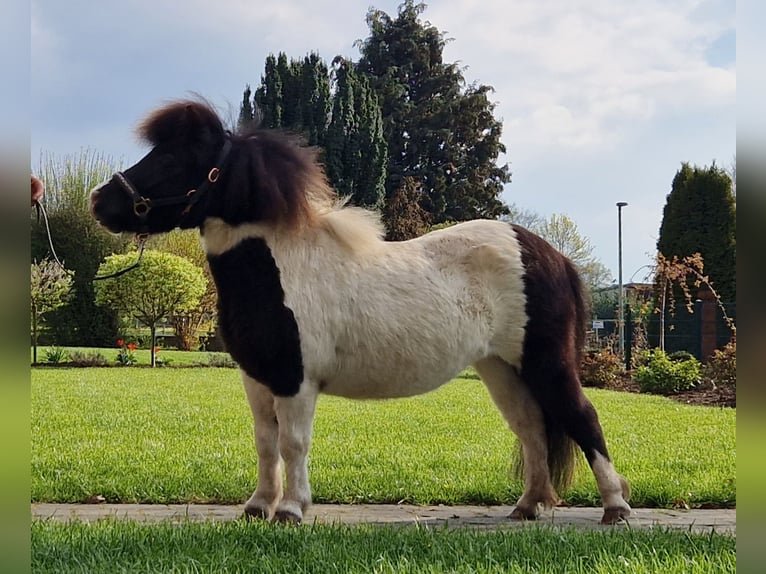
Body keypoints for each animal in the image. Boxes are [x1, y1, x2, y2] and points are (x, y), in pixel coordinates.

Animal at [90, 100, 632, 528]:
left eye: (174, 156)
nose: (100, 200)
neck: (280, 267)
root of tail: (548, 254)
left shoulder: (295, 381)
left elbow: (293, 444)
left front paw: (291, 510)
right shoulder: (257, 379)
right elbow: (266, 443)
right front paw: (258, 506)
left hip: (546, 364)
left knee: (582, 418)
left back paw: (615, 508)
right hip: (501, 368)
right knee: (531, 428)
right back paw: (527, 507)